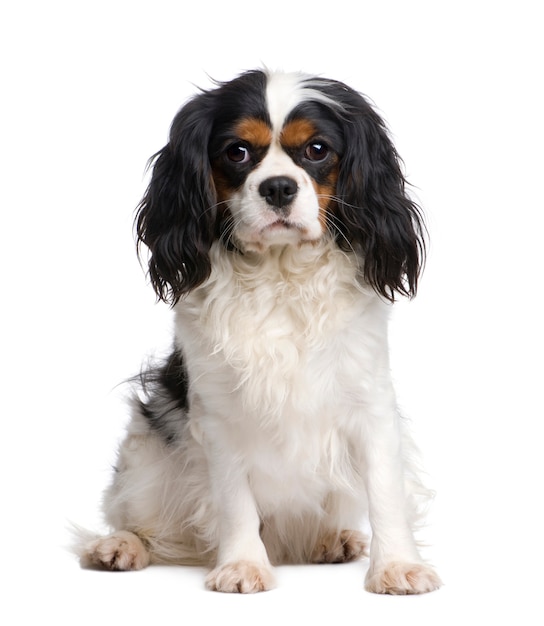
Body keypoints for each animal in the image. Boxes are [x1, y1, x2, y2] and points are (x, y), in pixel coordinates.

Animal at [76, 69, 442, 596]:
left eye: (316, 150)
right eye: (237, 152)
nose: (278, 187)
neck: (280, 274)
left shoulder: (369, 404)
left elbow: (385, 490)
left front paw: (397, 566)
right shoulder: (220, 420)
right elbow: (235, 502)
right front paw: (243, 566)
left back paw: (332, 540)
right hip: (147, 455)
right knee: (145, 523)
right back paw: (120, 546)